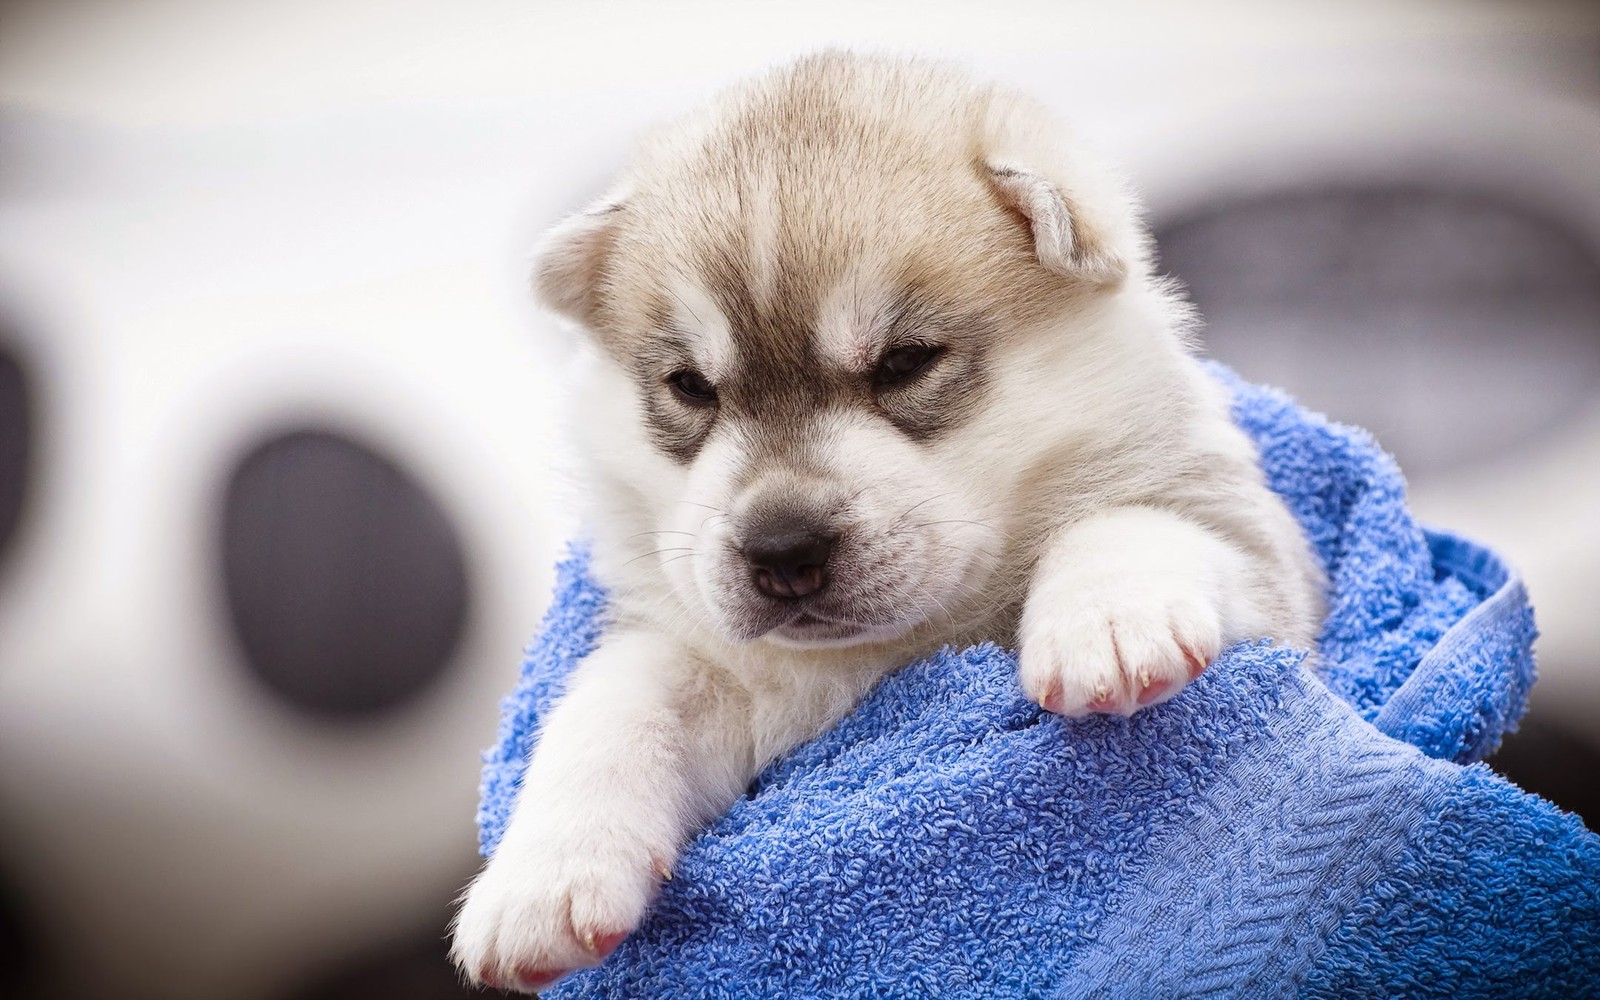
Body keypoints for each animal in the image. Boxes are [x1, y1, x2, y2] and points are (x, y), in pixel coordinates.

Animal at [451, 52, 1324, 992]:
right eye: (690, 387)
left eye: (905, 362)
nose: (781, 549)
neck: (887, 653)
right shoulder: (707, 662)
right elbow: (610, 705)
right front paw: (541, 876)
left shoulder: (1258, 558)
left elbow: (1132, 523)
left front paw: (1113, 622)